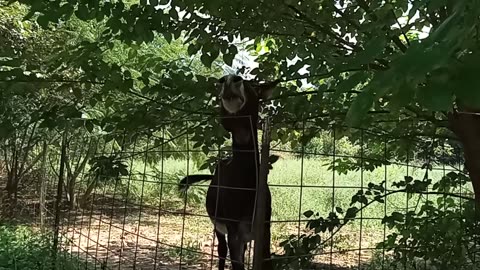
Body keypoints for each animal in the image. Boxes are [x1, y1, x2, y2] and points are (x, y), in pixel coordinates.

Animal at [178, 75, 280, 270]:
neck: (247, 185)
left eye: (254, 87)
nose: (230, 79)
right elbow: (235, 262)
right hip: (218, 226)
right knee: (221, 250)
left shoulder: (264, 230)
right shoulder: (234, 232)